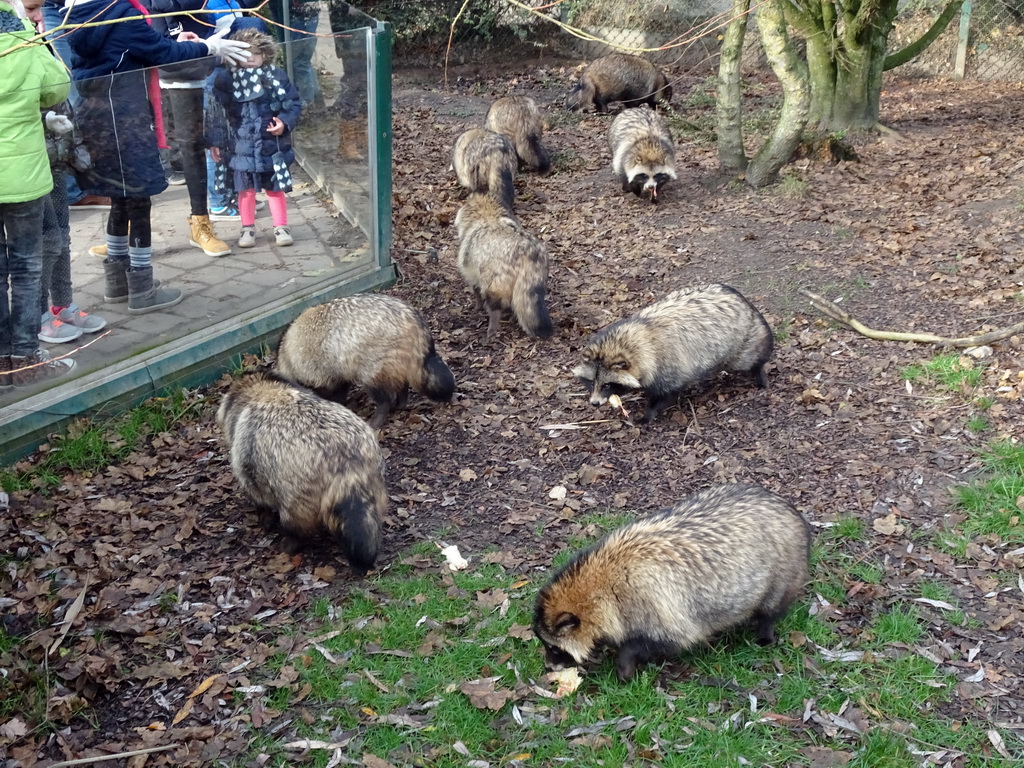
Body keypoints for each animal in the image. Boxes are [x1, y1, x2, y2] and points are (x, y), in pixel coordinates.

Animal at [217, 372, 387, 577]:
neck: (266, 391)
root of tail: (347, 465)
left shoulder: (244, 454)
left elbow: (254, 489)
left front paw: (263, 517)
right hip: (376, 481)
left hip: (296, 496)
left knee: (298, 525)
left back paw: (289, 544)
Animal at [278, 294, 458, 430]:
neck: (287, 355)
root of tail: (415, 323)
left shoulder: (319, 368)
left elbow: (332, 387)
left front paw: (336, 400)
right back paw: (401, 401)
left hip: (375, 362)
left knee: (382, 394)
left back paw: (380, 415)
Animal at [454, 192, 552, 339]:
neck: (489, 216)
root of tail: (530, 252)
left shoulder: (471, 270)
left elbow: (476, 289)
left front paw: (478, 306)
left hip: (494, 281)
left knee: (494, 306)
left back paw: (491, 329)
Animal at [532, 483, 811, 684]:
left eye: (553, 647)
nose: (548, 666)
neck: (602, 582)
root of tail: (788, 508)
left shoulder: (654, 603)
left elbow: (662, 640)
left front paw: (625, 665)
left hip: (784, 573)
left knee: (772, 608)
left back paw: (766, 632)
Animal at [573, 284, 770, 423]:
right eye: (591, 382)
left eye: (607, 385)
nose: (594, 403)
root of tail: (740, 297)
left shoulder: (667, 365)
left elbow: (667, 394)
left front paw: (648, 414)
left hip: (741, 339)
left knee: (751, 355)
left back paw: (759, 368)